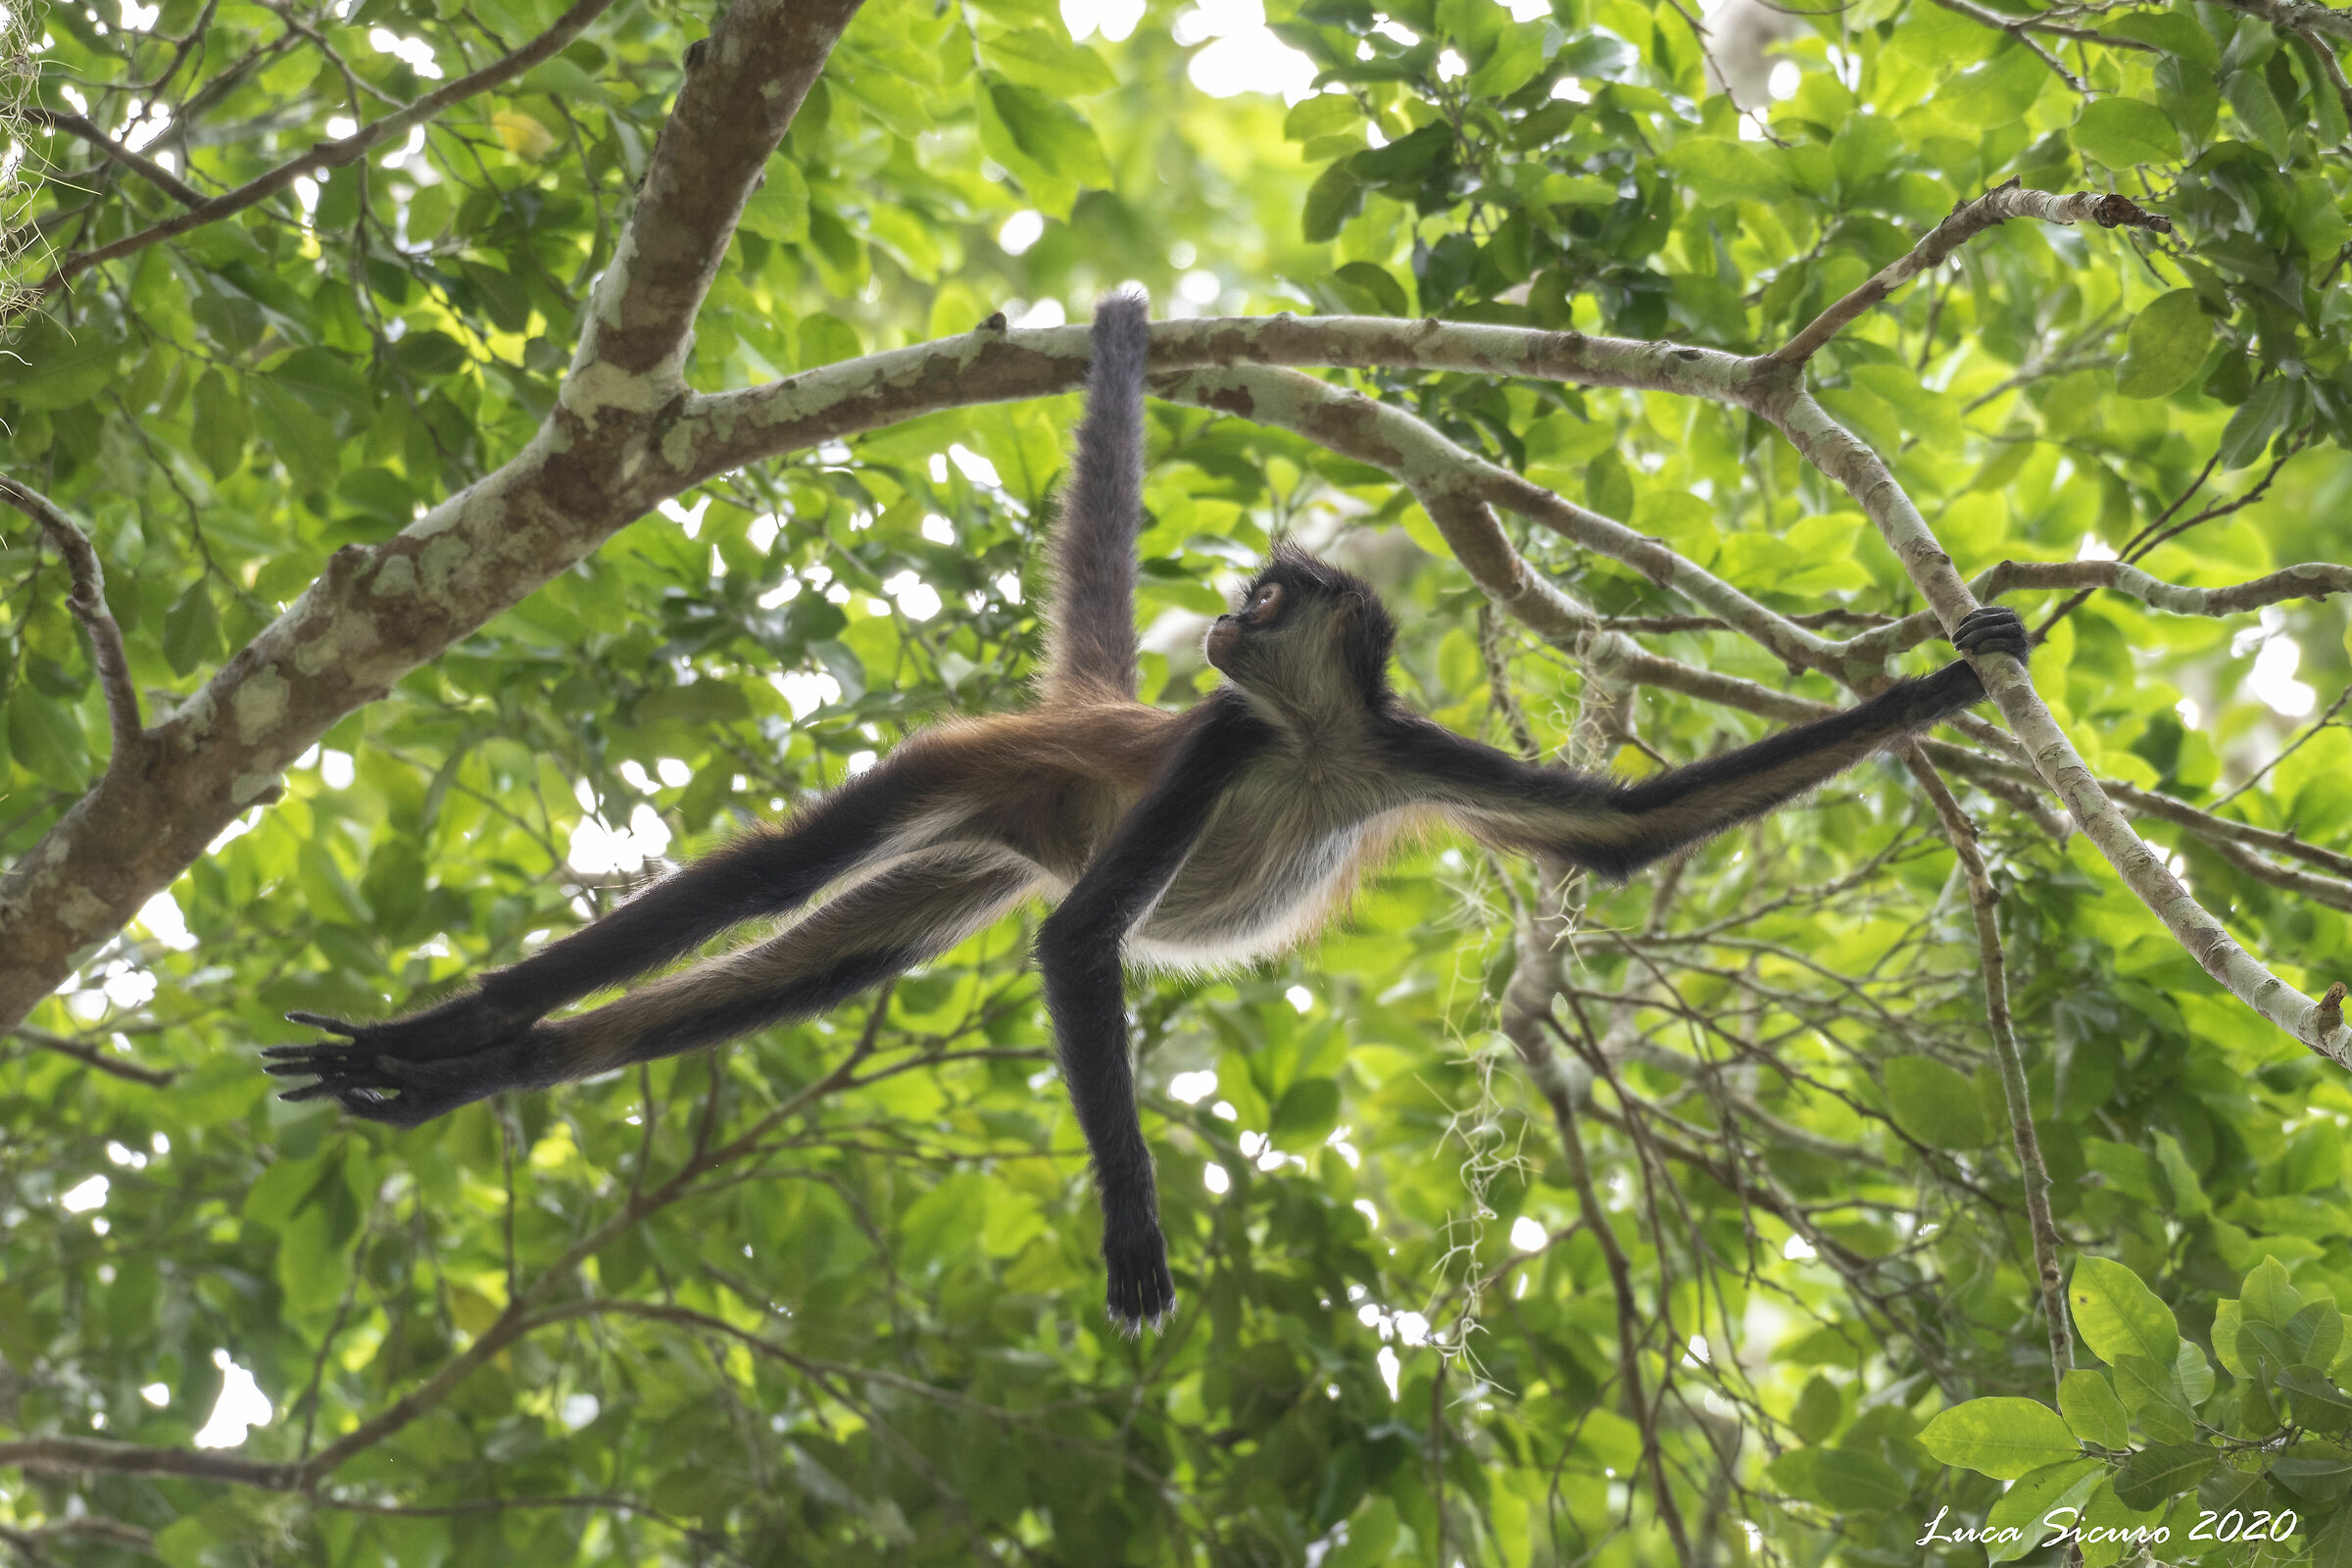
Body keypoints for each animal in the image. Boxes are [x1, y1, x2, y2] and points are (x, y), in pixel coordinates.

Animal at [268, 290, 2031, 1332]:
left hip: (979, 849)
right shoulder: (1219, 747)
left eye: (1270, 594)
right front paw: (1133, 1237)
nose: (1224, 624)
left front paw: (1950, 687)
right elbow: (1078, 946)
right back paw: (445, 1038)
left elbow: (1627, 834)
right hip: (972, 772)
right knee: (774, 880)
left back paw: (474, 1071)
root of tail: (1076, 718)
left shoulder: (1402, 754)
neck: (1310, 747)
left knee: (817, 964)